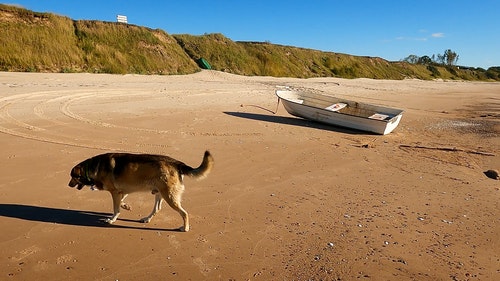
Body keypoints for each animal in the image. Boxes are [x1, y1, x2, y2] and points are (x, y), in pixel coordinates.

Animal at [68, 150, 213, 231]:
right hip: (159, 193)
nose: (68, 185)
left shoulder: (115, 192)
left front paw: (112, 219)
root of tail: (176, 163)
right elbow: (121, 203)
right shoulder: (122, 191)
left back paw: (185, 228)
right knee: (157, 209)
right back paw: (147, 219)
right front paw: (126, 206)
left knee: (184, 213)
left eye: (73, 177)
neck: (92, 167)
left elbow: (116, 208)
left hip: (169, 196)